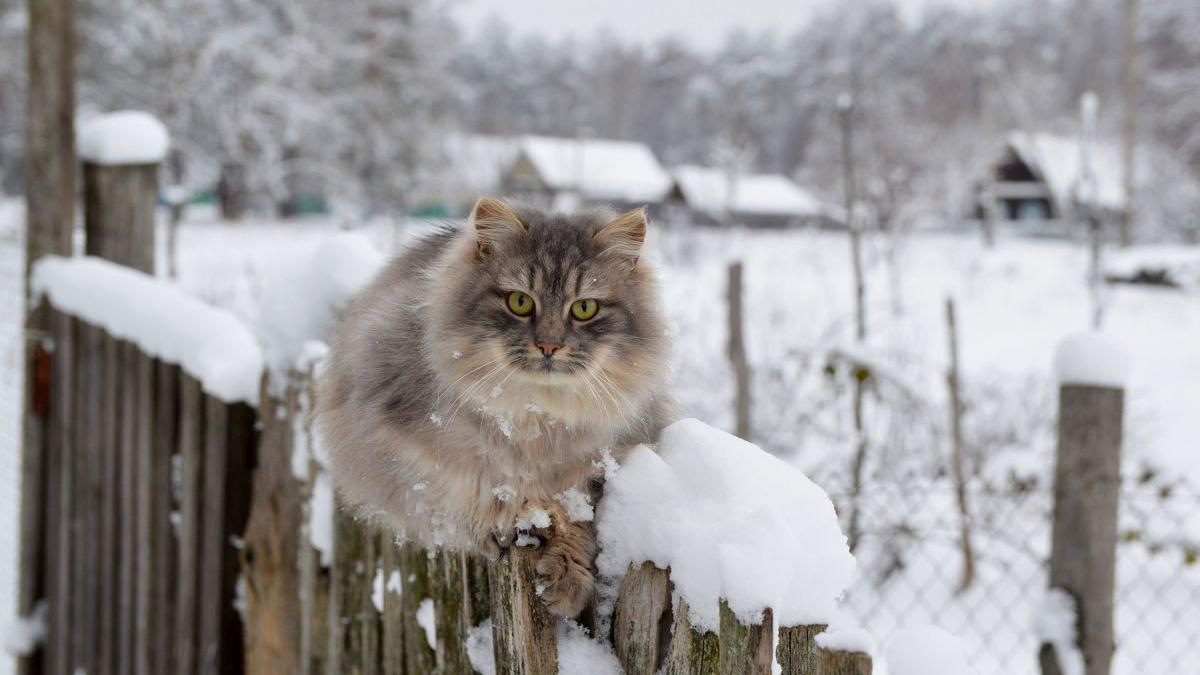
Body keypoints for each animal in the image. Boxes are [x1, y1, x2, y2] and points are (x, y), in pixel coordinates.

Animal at [316, 195, 676, 614]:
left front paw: (566, 573)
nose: (549, 346)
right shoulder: (396, 438)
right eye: (520, 302)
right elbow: (461, 486)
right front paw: (496, 520)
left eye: (584, 308)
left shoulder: (600, 461)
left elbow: (575, 517)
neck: (534, 413)